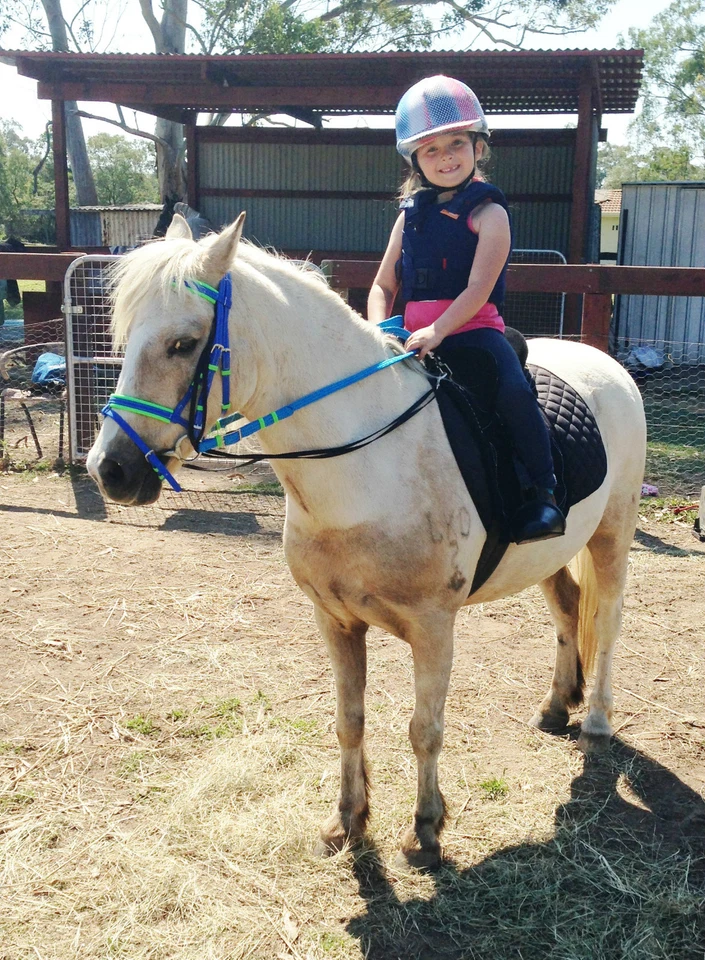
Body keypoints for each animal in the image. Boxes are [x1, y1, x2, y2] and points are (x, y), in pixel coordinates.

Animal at [87, 213, 647, 868]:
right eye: (127, 337)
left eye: (183, 343)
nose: (110, 470)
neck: (367, 468)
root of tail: (603, 363)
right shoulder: (335, 621)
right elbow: (348, 722)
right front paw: (347, 821)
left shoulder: (433, 627)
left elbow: (424, 730)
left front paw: (425, 830)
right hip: (551, 552)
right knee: (566, 610)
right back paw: (557, 706)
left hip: (612, 535)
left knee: (605, 620)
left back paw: (597, 724)